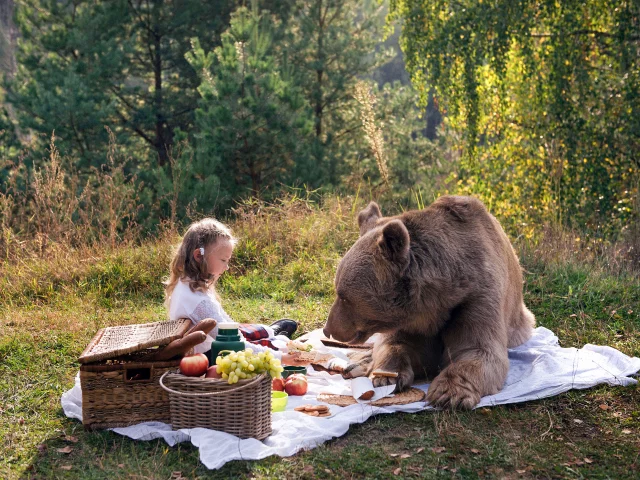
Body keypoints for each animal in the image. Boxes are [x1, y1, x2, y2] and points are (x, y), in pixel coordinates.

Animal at [320, 195, 536, 408]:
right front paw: (386, 376)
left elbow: (478, 348)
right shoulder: (410, 320)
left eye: (344, 296)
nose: (328, 329)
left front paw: (448, 393)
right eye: (338, 290)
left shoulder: (476, 296)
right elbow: (397, 344)